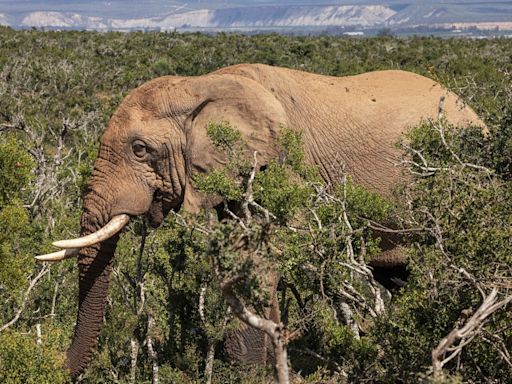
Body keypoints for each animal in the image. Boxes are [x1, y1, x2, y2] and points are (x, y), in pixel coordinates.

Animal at [36, 63, 484, 378]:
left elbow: (258, 256)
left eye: (140, 149)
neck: (203, 84)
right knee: (400, 276)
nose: (52, 364)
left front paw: (248, 373)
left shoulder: (283, 165)